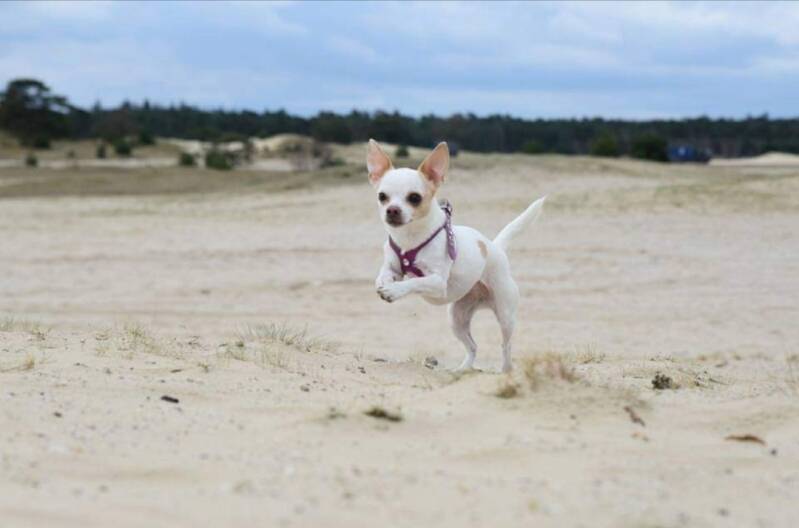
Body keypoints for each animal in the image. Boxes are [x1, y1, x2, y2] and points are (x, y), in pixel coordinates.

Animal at [368, 139, 545, 372]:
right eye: (382, 197)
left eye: (414, 198)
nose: (392, 210)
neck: (409, 239)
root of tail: (494, 246)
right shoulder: (393, 267)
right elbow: (385, 274)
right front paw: (385, 284)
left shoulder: (436, 281)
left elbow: (414, 282)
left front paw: (394, 291)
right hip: (457, 319)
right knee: (473, 346)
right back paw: (462, 369)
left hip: (505, 316)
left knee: (505, 346)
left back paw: (505, 370)